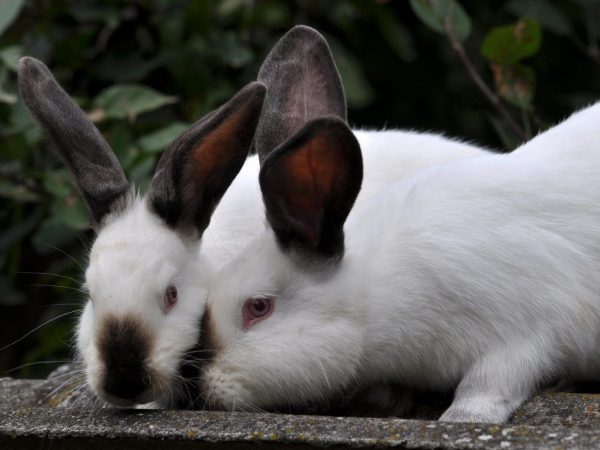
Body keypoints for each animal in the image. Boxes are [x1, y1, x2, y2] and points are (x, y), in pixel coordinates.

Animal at [200, 90, 600, 422]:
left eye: (258, 307)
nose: (205, 387)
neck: (375, 293)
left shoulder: (523, 332)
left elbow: (489, 384)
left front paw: (460, 419)